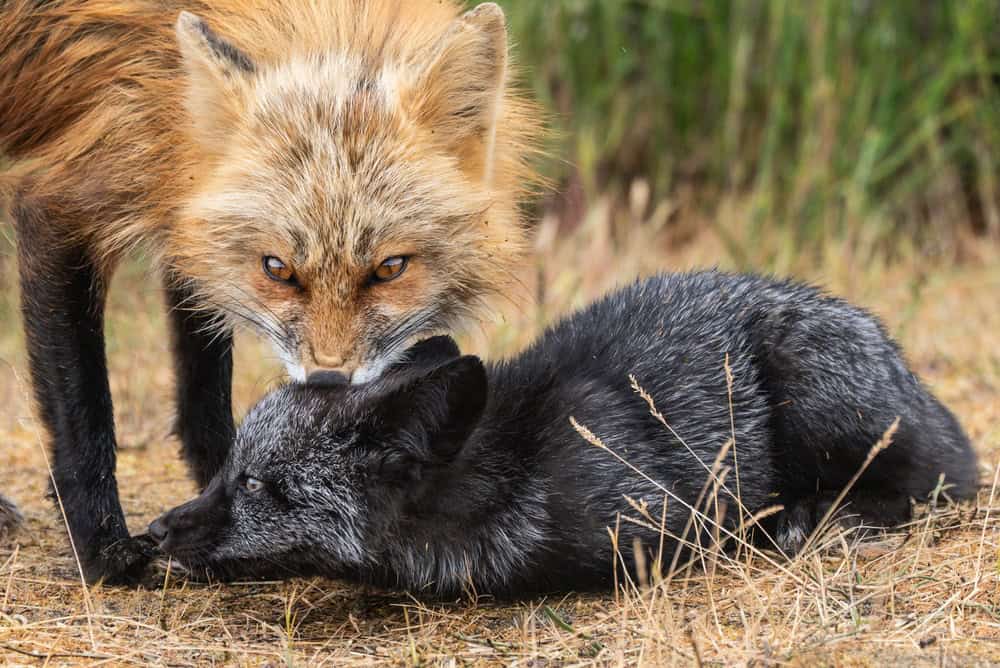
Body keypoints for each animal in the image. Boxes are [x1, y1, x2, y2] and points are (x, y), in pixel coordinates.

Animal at [0, 0, 540, 584]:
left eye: (390, 268)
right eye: (278, 269)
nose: (327, 380)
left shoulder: (190, 216)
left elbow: (203, 384)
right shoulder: (63, 200)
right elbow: (84, 412)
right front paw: (103, 549)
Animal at [150, 272, 979, 597]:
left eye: (259, 486)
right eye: (226, 471)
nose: (156, 531)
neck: (510, 468)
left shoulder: (657, 527)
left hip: (819, 400)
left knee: (928, 488)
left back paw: (821, 519)